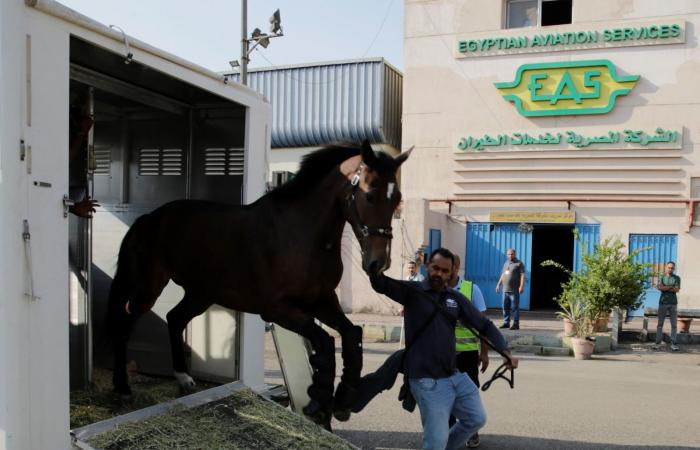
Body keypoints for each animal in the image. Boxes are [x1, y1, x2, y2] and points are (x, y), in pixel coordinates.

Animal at [106, 142, 408, 428]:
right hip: (148, 287)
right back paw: (122, 388)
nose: (378, 262)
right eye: (369, 195)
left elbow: (352, 334)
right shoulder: (277, 309)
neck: (301, 233)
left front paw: (343, 399)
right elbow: (324, 341)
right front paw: (318, 403)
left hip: (202, 293)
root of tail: (148, 220)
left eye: (397, 199)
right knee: (123, 324)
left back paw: (184, 378)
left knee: (174, 318)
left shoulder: (321, 300)